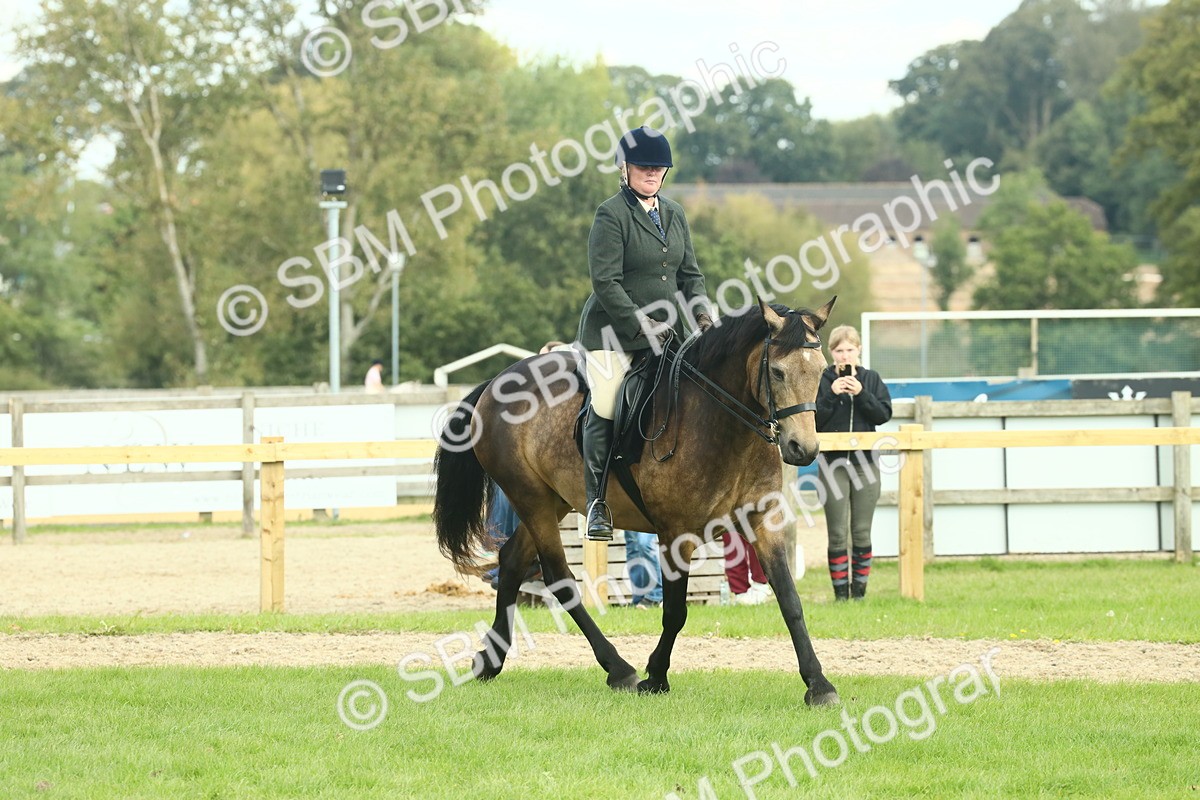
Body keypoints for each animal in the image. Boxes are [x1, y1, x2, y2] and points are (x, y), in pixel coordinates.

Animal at [432, 297, 840, 706]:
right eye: (777, 371)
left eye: (821, 370)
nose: (803, 449)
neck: (722, 424)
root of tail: (497, 382)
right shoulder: (676, 533)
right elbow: (675, 611)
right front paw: (655, 676)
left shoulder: (762, 520)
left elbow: (790, 600)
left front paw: (818, 684)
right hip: (530, 497)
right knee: (559, 577)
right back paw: (619, 668)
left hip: (554, 500)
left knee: (513, 561)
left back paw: (490, 660)